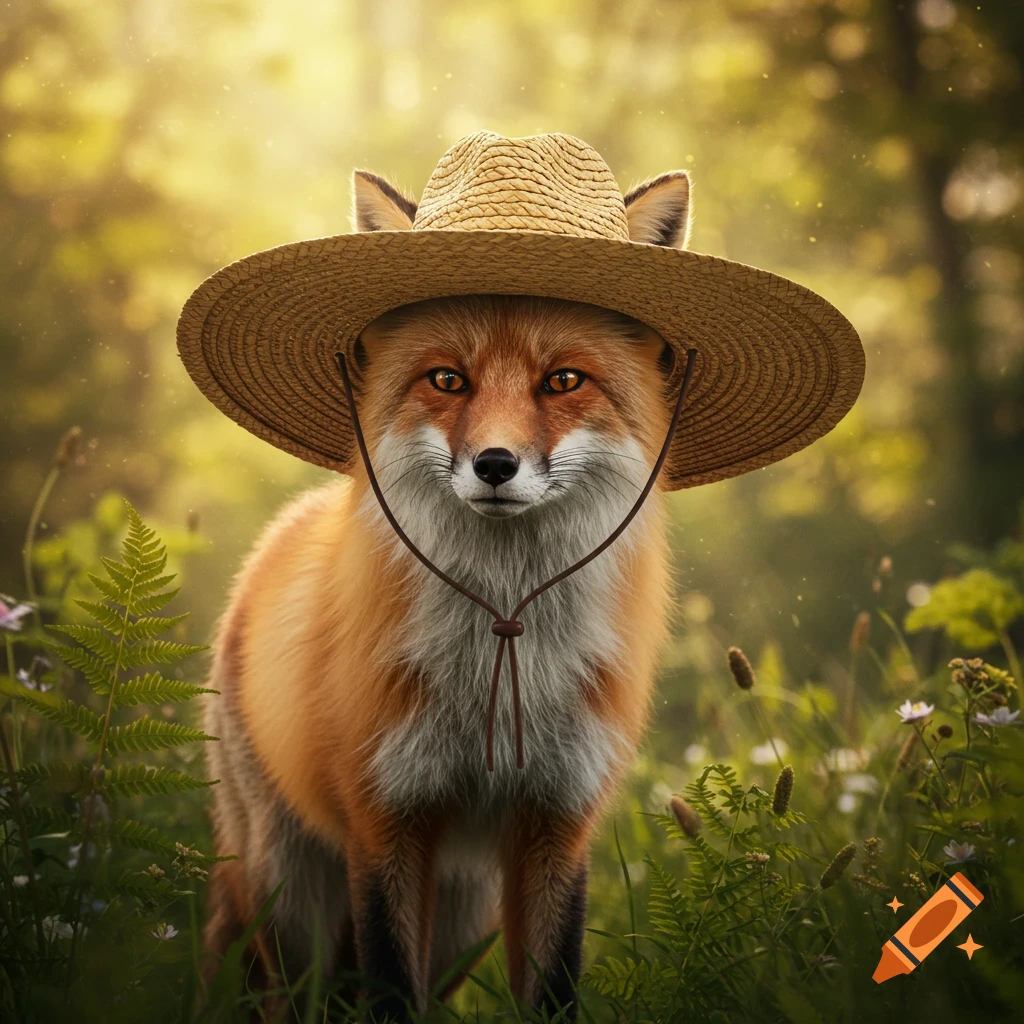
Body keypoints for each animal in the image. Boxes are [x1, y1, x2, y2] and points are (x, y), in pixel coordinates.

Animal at [202, 165, 693, 1021]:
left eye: (563, 381)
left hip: (464, 920)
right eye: (447, 380)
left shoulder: (556, 826)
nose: (494, 464)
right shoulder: (385, 825)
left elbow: (551, 993)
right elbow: (387, 993)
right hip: (288, 899)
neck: (498, 657)